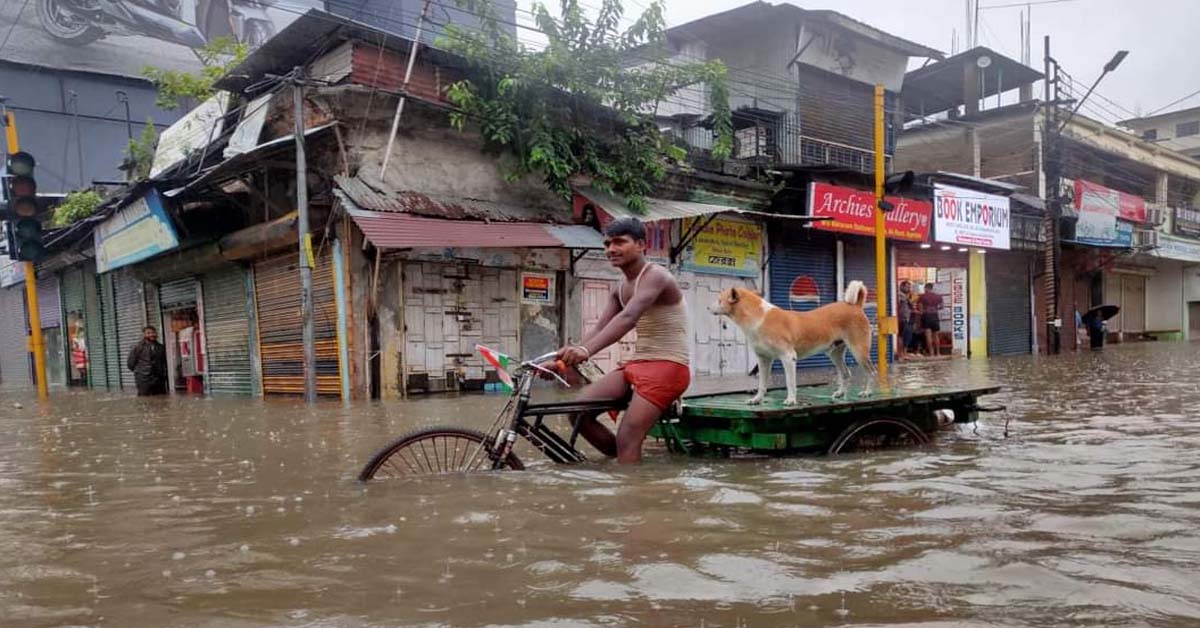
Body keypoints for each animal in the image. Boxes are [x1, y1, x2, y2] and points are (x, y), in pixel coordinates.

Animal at [705, 282, 878, 405]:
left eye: (719, 300)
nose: (707, 307)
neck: (759, 316)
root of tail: (855, 306)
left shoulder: (788, 357)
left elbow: (790, 382)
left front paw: (791, 400)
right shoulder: (763, 360)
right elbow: (762, 384)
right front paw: (757, 400)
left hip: (859, 351)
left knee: (871, 372)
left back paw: (868, 392)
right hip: (834, 353)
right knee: (846, 373)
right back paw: (841, 393)